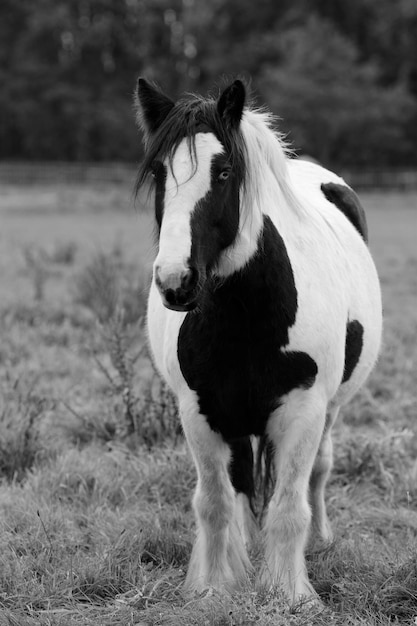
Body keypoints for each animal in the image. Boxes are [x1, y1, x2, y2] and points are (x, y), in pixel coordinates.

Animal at [135, 75, 382, 604]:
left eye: (225, 171)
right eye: (160, 173)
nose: (175, 282)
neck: (245, 315)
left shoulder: (304, 409)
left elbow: (289, 506)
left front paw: (290, 593)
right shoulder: (200, 411)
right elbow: (215, 501)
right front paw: (213, 585)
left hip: (330, 410)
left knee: (318, 473)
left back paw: (320, 540)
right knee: (244, 482)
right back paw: (246, 548)